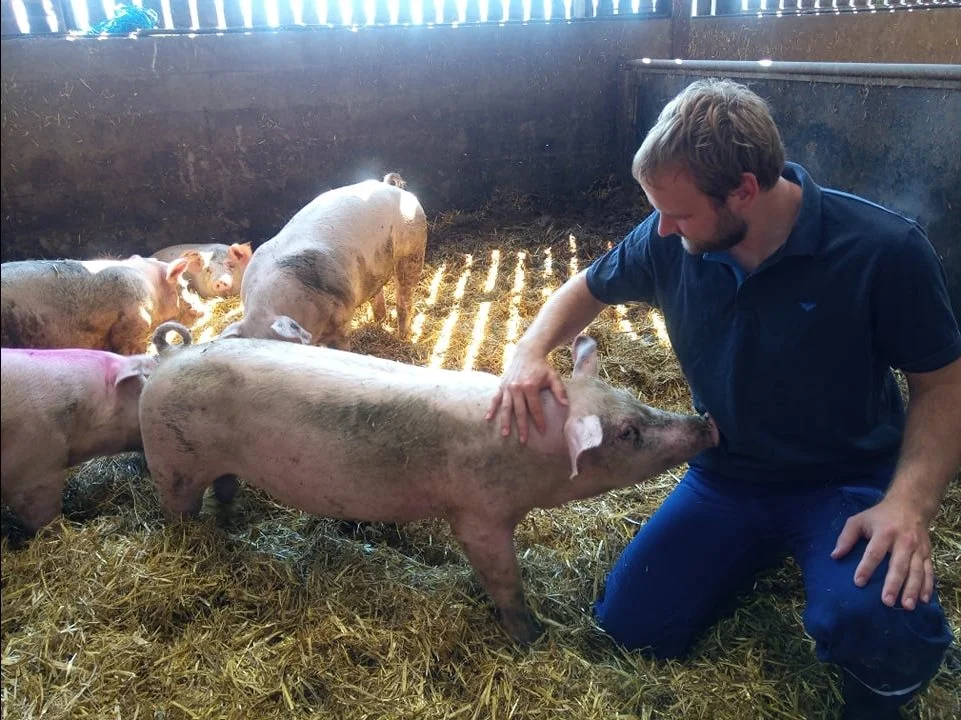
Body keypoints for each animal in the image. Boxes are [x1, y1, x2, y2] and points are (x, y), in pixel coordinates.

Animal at [139, 334, 716, 644]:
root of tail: (163, 365)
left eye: (632, 399)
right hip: (172, 461)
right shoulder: (479, 512)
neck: (530, 449)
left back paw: (230, 519)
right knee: (177, 509)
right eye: (628, 433)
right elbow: (502, 576)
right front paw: (532, 637)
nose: (706, 423)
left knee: (224, 489)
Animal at [221, 172, 428, 346]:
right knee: (378, 292)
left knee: (404, 298)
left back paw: (403, 337)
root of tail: (394, 188)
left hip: (414, 248)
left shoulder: (341, 321)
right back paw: (378, 321)